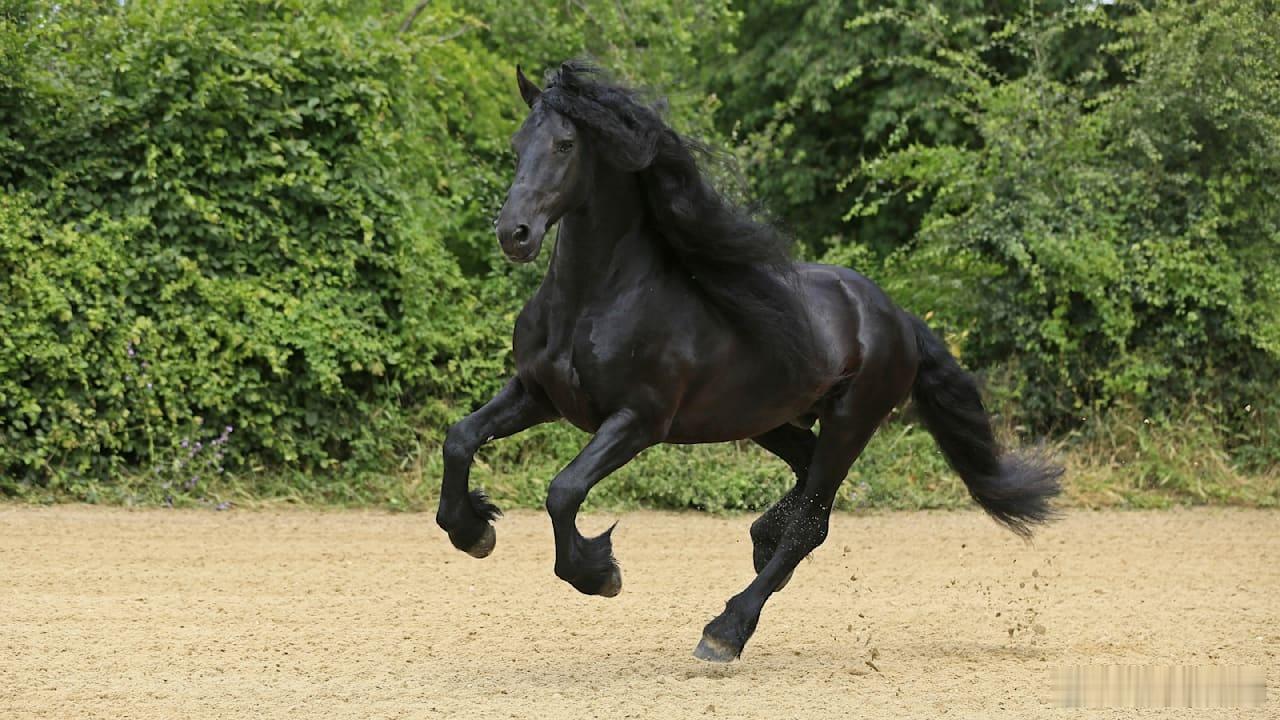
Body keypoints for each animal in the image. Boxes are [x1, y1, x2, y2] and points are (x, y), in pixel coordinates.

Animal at [435, 62, 1062, 662]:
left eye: (565, 144)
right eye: (518, 144)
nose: (513, 234)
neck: (594, 300)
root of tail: (896, 314)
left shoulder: (638, 420)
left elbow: (563, 490)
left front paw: (599, 572)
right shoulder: (539, 394)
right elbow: (460, 438)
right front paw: (473, 530)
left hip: (851, 421)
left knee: (811, 521)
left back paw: (726, 631)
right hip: (770, 420)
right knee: (807, 487)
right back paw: (762, 537)